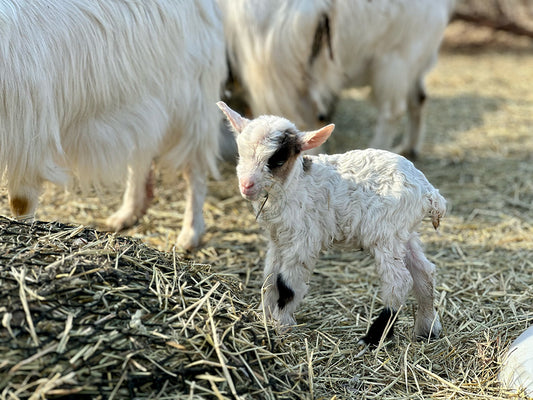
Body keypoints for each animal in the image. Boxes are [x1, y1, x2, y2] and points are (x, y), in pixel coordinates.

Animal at [0, 0, 224, 250]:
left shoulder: (27, 142)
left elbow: (21, 205)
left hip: (194, 104)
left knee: (195, 168)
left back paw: (189, 235)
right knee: (141, 156)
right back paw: (127, 214)